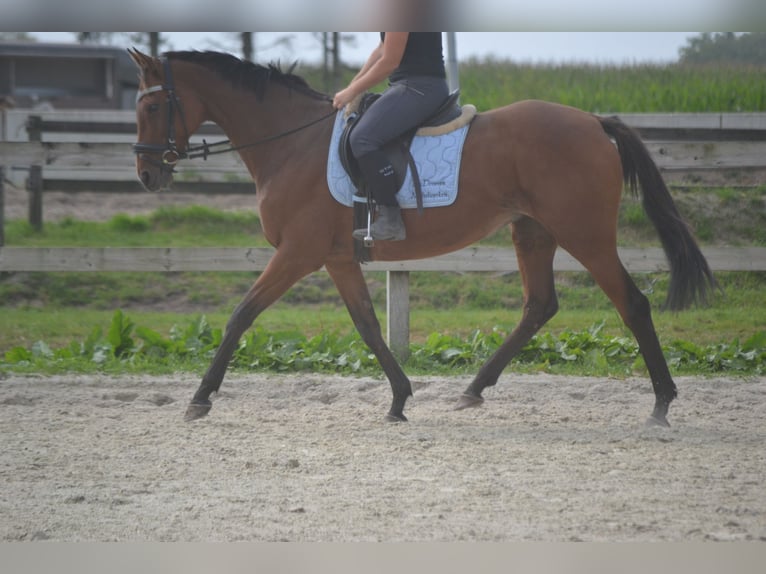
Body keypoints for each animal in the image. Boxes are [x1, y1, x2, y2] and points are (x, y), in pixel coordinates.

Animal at [129, 49, 716, 428]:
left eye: (152, 107)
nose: (147, 176)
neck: (292, 144)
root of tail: (594, 122)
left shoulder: (298, 253)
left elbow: (240, 315)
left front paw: (200, 398)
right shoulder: (337, 258)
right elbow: (368, 326)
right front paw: (399, 399)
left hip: (585, 234)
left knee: (632, 304)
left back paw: (662, 404)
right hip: (533, 231)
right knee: (539, 306)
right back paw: (473, 390)